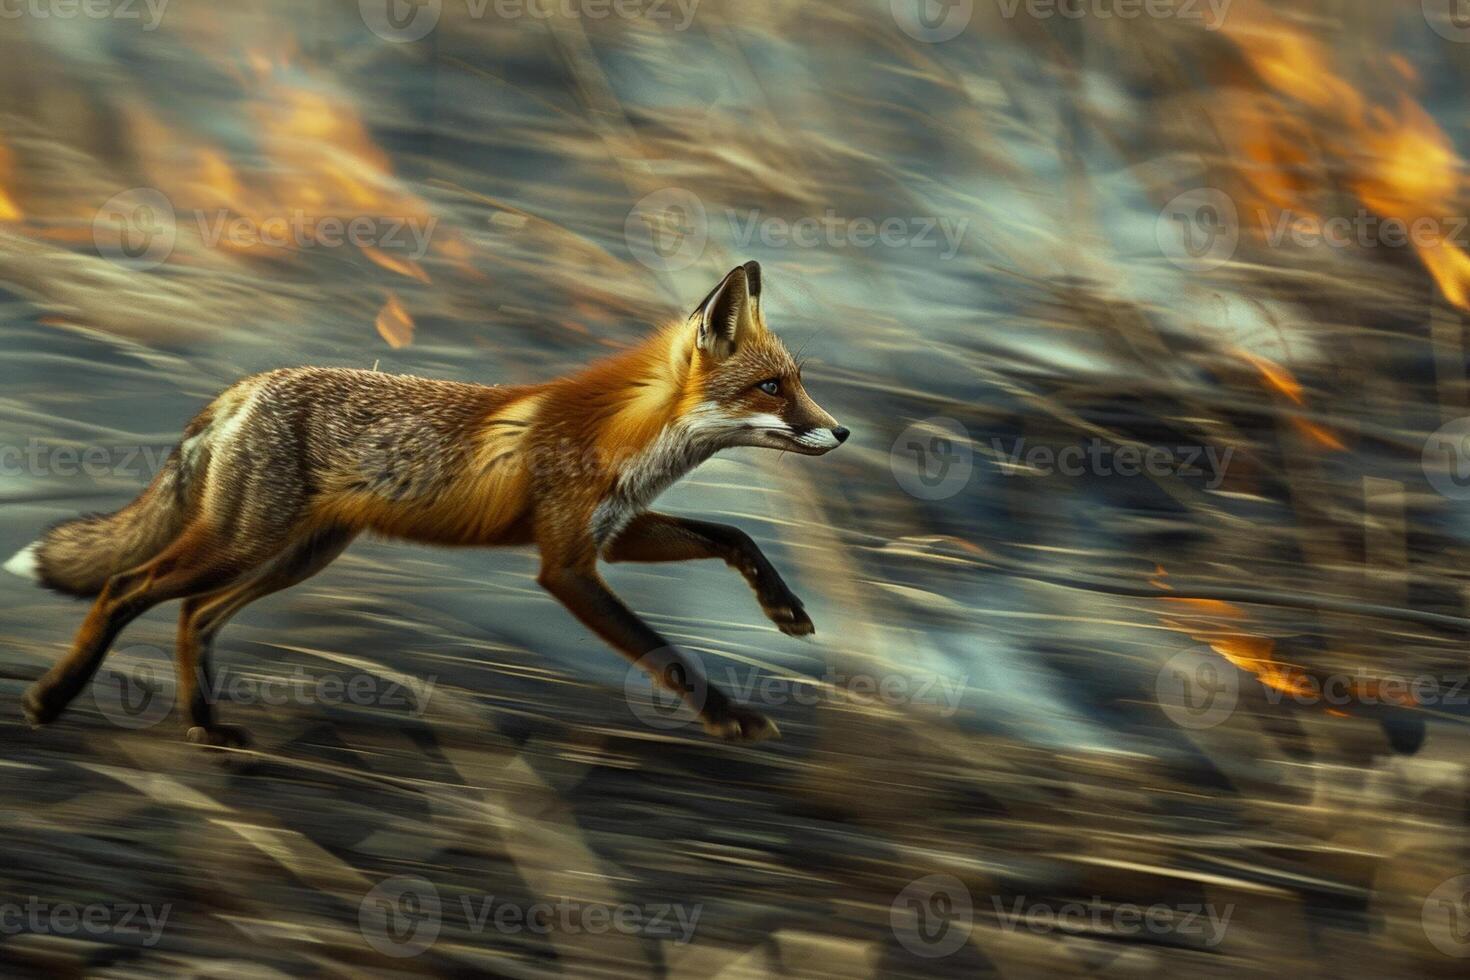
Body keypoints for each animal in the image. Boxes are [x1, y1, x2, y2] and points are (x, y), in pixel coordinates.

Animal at [8, 264, 852, 746]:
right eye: (771, 388)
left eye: (798, 383)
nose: (843, 432)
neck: (628, 439)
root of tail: (246, 385)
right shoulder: (566, 566)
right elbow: (663, 651)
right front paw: (729, 717)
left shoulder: (613, 534)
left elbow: (734, 534)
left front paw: (784, 610)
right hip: (242, 544)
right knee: (127, 589)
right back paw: (52, 700)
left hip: (293, 557)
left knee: (195, 615)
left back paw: (204, 725)